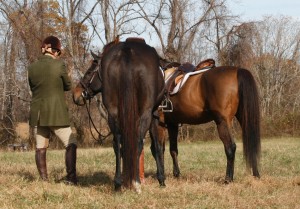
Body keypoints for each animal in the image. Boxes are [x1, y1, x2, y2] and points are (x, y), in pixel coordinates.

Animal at [73, 38, 165, 193]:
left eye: (90, 71)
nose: (76, 94)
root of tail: (127, 50)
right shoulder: (153, 113)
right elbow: (156, 146)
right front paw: (161, 179)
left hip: (113, 114)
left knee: (117, 144)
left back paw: (118, 183)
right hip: (145, 113)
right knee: (138, 143)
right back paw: (135, 182)